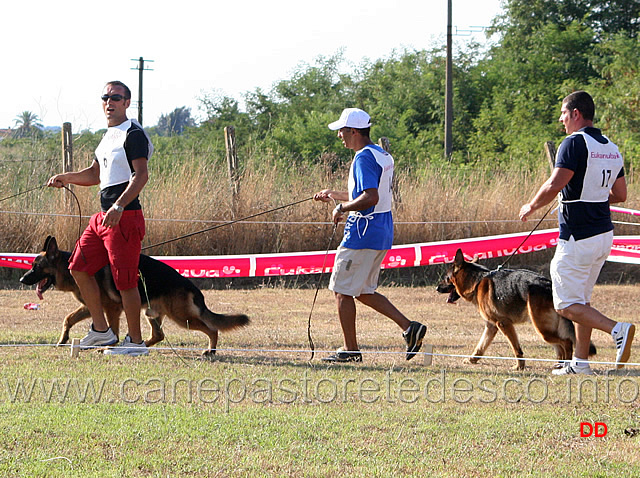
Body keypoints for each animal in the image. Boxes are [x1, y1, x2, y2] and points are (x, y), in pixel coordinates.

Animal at [17, 236, 248, 354]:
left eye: (36, 267)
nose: (21, 280)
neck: (68, 267)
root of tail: (189, 284)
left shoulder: (111, 308)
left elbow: (113, 330)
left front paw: (108, 345)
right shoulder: (92, 306)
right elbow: (68, 319)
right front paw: (64, 339)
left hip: (182, 318)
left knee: (212, 329)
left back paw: (211, 350)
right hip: (151, 313)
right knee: (158, 335)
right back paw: (140, 346)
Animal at [436, 248, 596, 372]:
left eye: (445, 278)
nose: (436, 288)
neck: (477, 281)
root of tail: (548, 285)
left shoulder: (503, 324)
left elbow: (516, 348)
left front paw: (519, 367)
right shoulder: (491, 326)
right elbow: (481, 345)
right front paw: (472, 360)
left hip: (542, 328)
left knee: (566, 342)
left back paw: (565, 365)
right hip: (546, 327)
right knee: (559, 346)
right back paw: (558, 364)